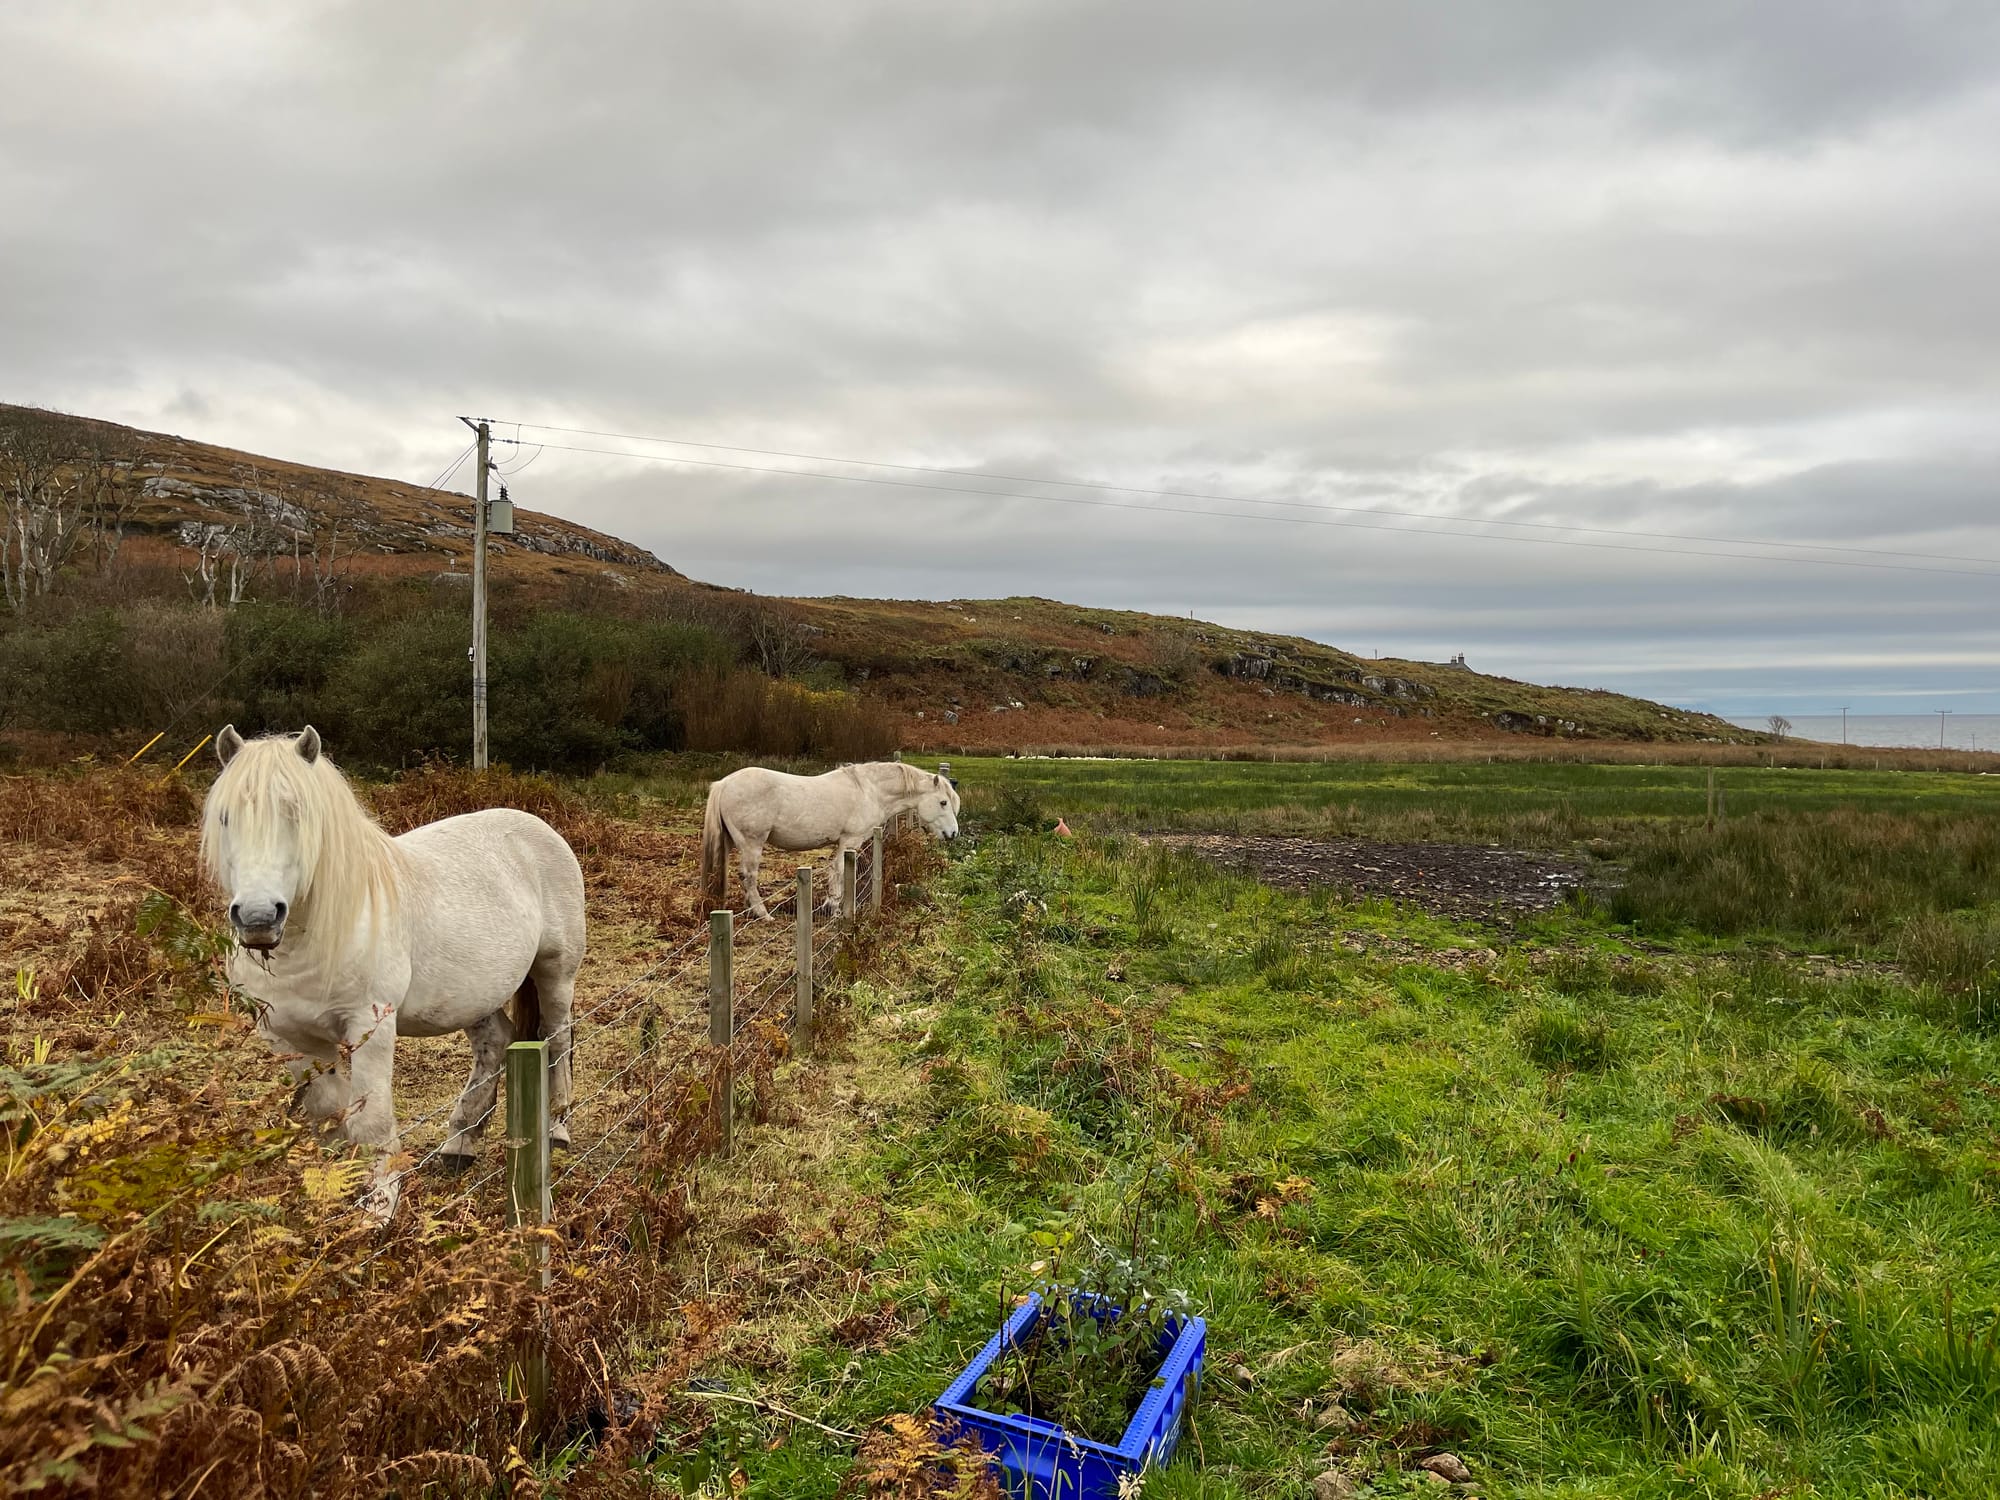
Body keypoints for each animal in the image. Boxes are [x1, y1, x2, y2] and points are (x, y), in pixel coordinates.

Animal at [201, 726, 587, 1218]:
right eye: (226, 817)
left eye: (299, 814)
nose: (258, 917)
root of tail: (538, 826)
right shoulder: (289, 1038)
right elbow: (330, 1113)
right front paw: (336, 1189)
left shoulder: (370, 1027)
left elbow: (371, 1119)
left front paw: (380, 1206)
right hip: (474, 997)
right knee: (495, 1044)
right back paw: (460, 1144)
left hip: (555, 974)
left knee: (557, 1042)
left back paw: (556, 1130)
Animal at [700, 761, 960, 920]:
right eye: (943, 802)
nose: (953, 834)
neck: (870, 791)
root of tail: (724, 783)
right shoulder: (849, 841)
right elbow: (839, 872)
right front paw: (835, 908)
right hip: (752, 843)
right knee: (749, 876)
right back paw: (763, 914)